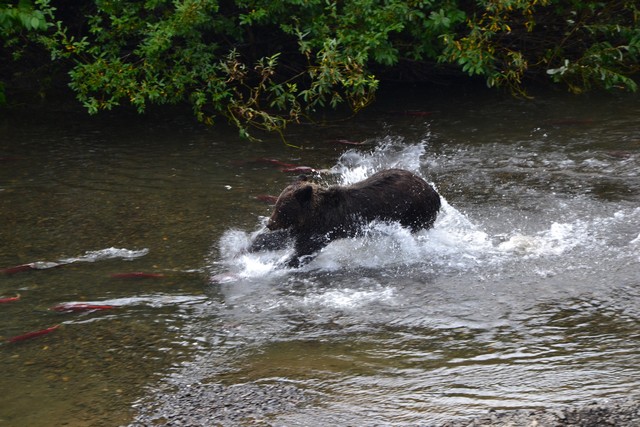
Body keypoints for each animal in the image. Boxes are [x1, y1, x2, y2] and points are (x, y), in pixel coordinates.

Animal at [250, 168, 440, 266]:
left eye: (282, 209)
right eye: (277, 205)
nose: (269, 224)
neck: (313, 214)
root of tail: (434, 192)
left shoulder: (322, 228)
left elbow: (306, 249)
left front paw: (282, 263)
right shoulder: (303, 227)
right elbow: (283, 238)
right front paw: (252, 245)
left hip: (414, 213)